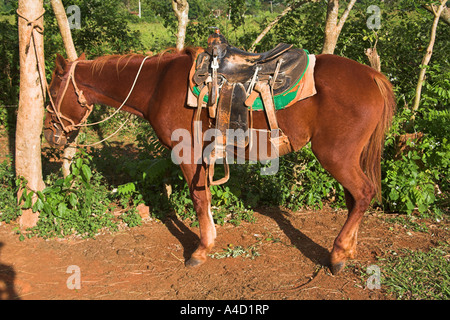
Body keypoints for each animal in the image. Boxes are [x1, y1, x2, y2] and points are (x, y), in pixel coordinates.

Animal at [43, 48, 394, 274]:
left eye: (53, 91)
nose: (49, 135)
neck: (156, 85)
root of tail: (373, 75)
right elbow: (206, 198)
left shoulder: (187, 153)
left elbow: (199, 199)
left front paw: (201, 249)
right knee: (355, 199)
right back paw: (347, 249)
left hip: (337, 156)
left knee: (363, 194)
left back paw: (337, 255)